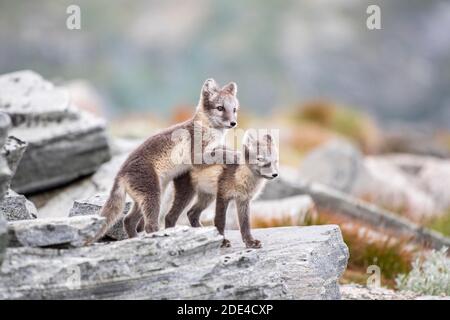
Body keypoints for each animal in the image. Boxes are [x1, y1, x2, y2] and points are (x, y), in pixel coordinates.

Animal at [89, 79, 241, 241]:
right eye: (220, 108)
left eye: (234, 109)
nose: (233, 123)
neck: (208, 129)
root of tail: (120, 173)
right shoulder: (197, 156)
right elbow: (220, 152)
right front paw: (236, 156)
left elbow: (222, 149)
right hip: (153, 195)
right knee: (149, 225)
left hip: (149, 196)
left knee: (128, 220)